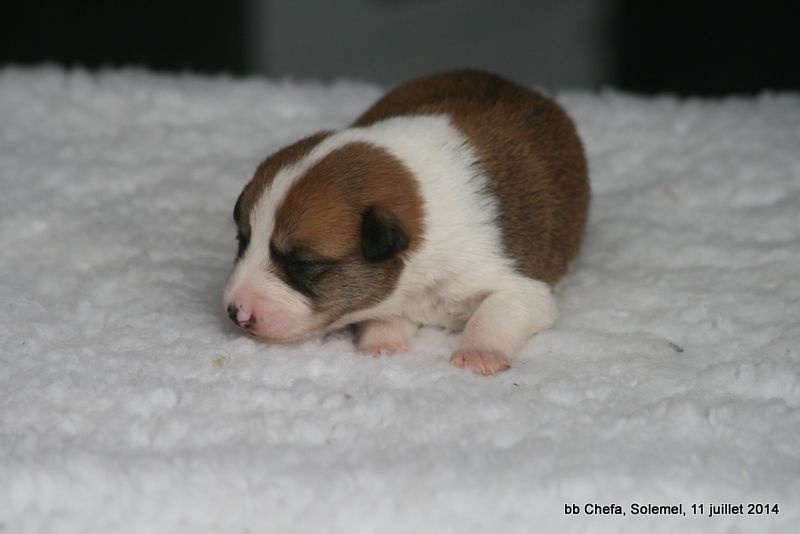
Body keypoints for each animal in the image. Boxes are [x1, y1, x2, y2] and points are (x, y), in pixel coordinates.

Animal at [223, 70, 589, 375]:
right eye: (243, 240)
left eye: (301, 263)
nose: (234, 311)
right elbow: (383, 317)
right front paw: (381, 343)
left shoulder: (519, 285)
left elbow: (496, 311)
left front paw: (478, 353)